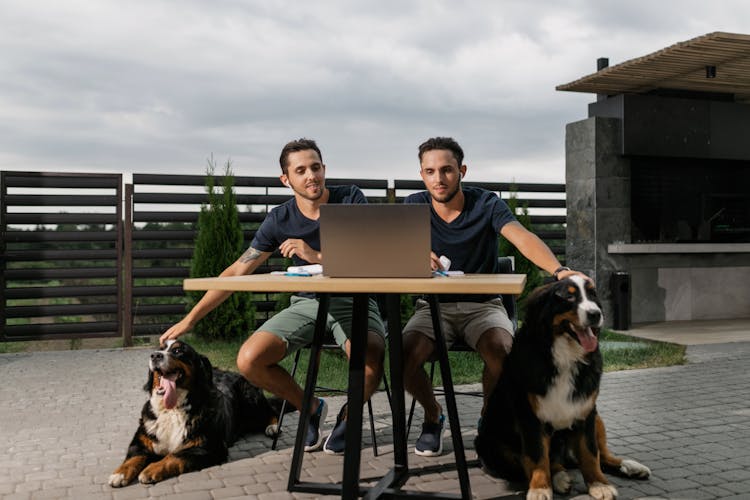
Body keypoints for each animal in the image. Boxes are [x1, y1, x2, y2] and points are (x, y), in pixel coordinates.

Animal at [107, 338, 280, 486]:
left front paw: (151, 469)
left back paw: (273, 427)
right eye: (160, 349)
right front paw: (119, 474)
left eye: (178, 351)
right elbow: (133, 457)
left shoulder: (209, 447)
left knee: (272, 411)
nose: (155, 355)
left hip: (251, 400)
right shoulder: (141, 441)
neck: (172, 409)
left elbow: (175, 455)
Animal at [482, 276, 652, 500]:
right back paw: (559, 477)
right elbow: (537, 457)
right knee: (543, 461)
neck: (565, 357)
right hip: (493, 446)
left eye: (592, 294)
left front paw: (599, 484)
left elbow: (590, 454)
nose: (595, 314)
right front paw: (540, 488)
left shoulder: (586, 412)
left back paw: (630, 466)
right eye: (569, 297)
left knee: (603, 456)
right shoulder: (531, 417)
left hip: (597, 419)